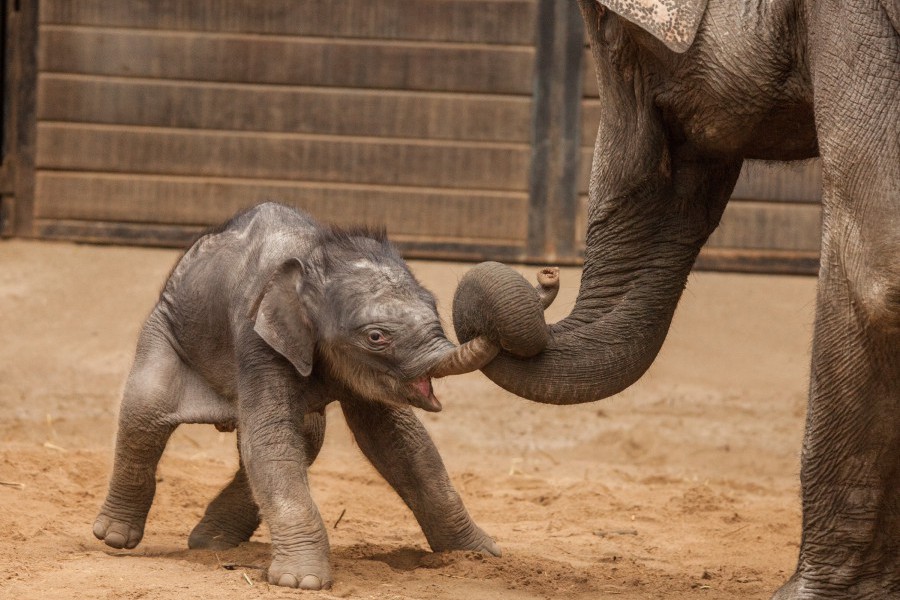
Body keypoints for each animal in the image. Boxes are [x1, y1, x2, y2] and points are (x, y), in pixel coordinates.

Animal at [92, 204, 524, 588]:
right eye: (376, 337)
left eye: (435, 308)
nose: (492, 330)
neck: (315, 257)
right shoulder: (257, 337)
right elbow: (271, 440)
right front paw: (302, 582)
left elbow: (402, 444)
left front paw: (481, 555)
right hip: (164, 329)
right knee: (145, 412)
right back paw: (115, 536)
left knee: (304, 437)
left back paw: (212, 543)